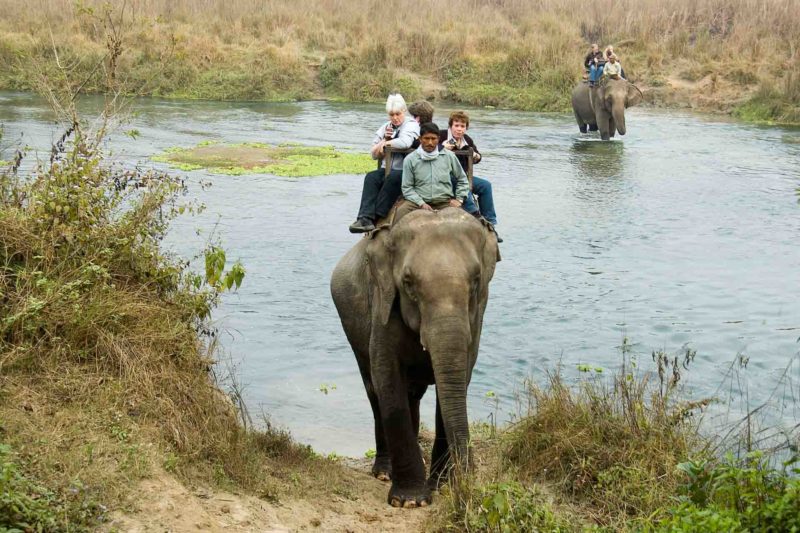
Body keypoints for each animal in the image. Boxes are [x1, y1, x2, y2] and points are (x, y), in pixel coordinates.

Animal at [328, 208, 496, 508]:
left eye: (477, 279)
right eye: (407, 283)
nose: (468, 482)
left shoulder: (477, 317)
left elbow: (458, 378)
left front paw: (440, 486)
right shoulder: (382, 303)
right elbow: (387, 377)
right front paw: (410, 500)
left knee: (413, 394)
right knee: (374, 390)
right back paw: (384, 472)